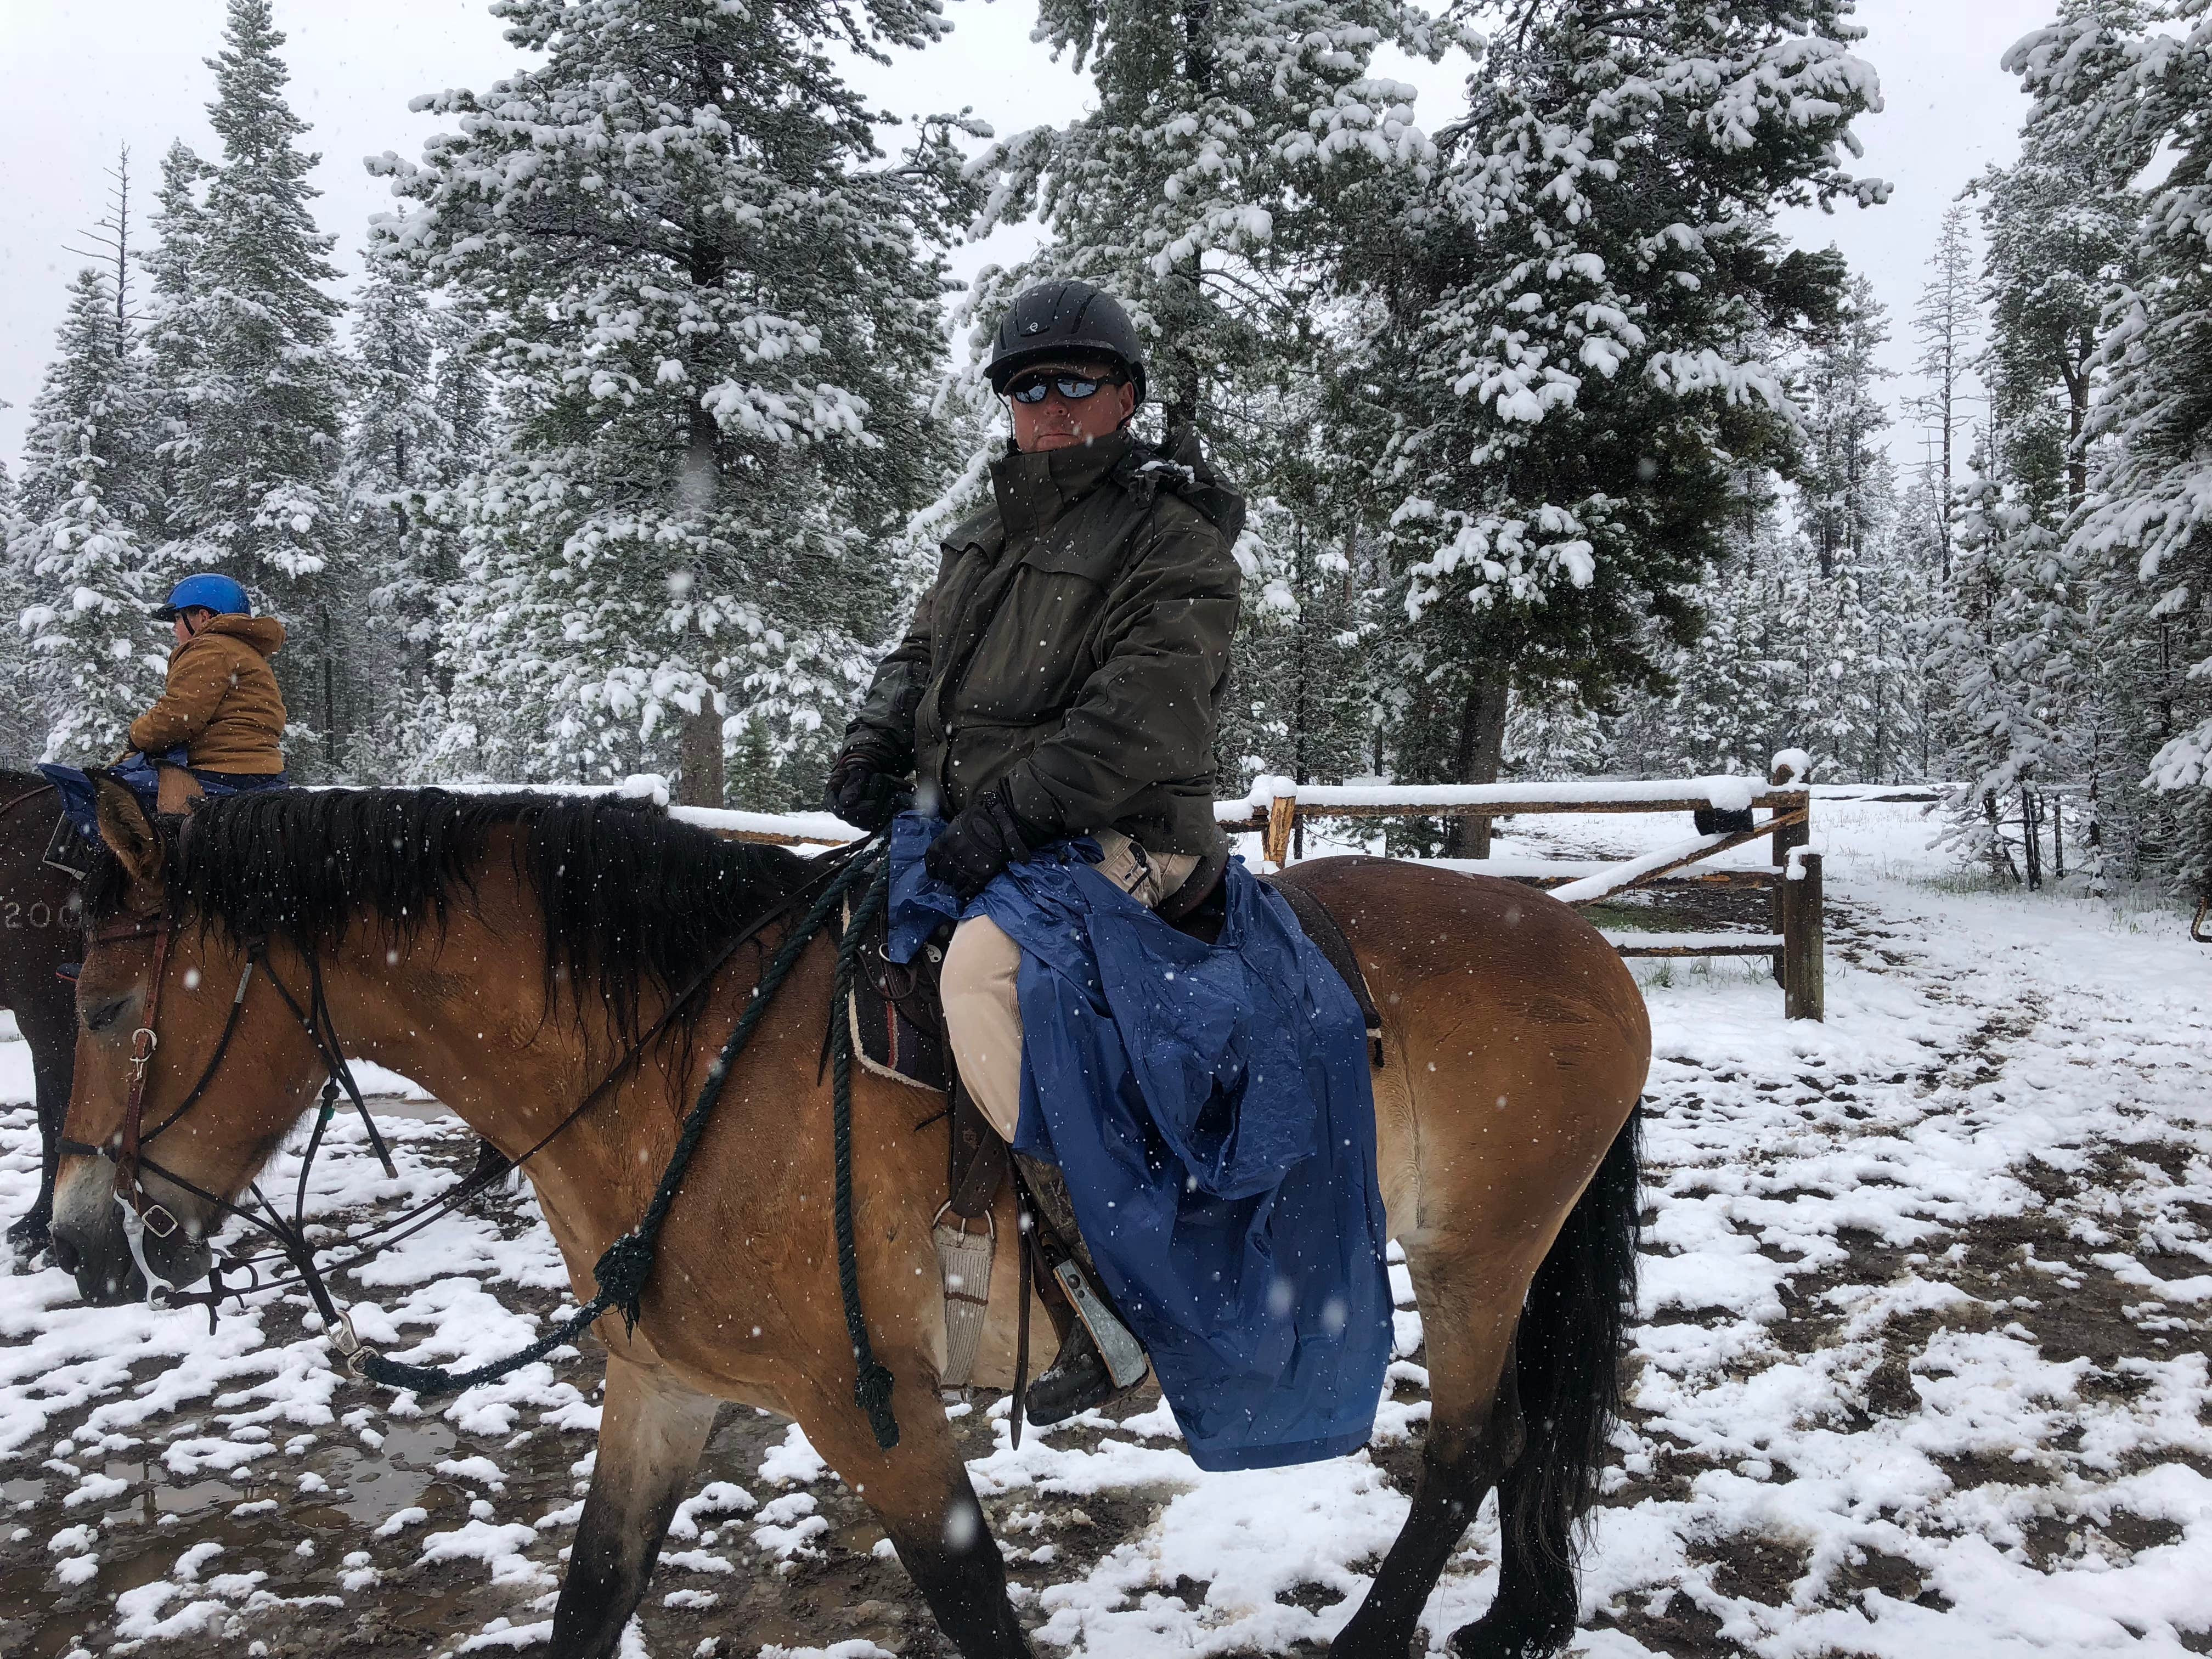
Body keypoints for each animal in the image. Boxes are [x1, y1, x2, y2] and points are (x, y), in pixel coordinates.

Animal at [51, 779, 1649, 1659]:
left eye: (109, 1005)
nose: (78, 1242)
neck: (682, 1070)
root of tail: (1585, 944)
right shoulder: (662, 1387)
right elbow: (590, 1600)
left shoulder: (871, 1415)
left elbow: (976, 1606)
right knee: (1513, 1444)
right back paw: (1516, 1619)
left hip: (1474, 1260)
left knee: (1472, 1447)